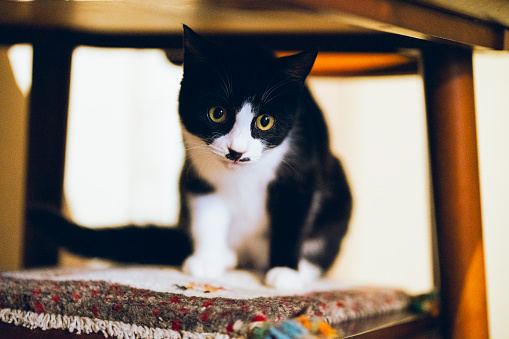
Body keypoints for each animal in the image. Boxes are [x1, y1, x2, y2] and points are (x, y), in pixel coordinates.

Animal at [29, 25, 352, 292]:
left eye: (265, 121)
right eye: (217, 113)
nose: (237, 151)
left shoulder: (301, 167)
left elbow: (292, 217)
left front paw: (285, 272)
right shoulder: (197, 169)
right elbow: (206, 209)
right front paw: (207, 260)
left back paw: (305, 268)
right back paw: (226, 256)